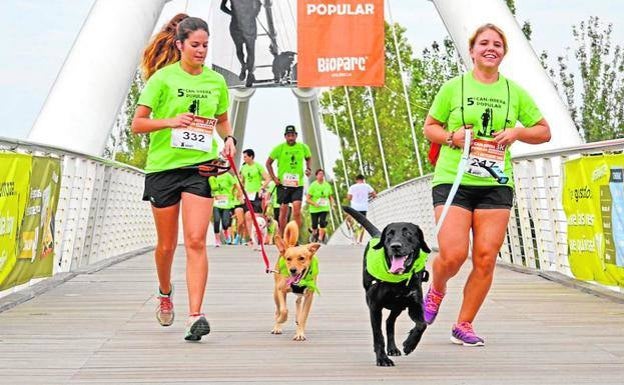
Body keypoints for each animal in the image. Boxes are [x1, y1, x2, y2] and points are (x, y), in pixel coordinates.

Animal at [344, 206, 432, 364]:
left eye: (408, 233)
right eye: (390, 234)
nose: (395, 246)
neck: (399, 281)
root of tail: (378, 234)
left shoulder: (414, 305)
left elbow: (422, 325)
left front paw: (409, 344)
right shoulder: (374, 307)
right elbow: (378, 335)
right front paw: (382, 358)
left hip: (399, 307)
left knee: (389, 322)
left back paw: (393, 348)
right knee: (386, 323)